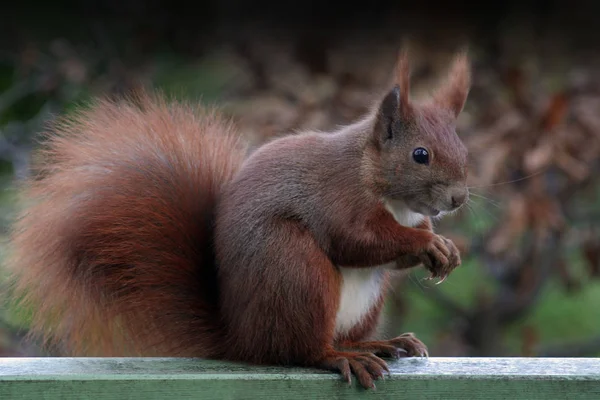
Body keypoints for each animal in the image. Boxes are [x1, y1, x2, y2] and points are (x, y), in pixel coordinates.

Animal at [7, 49, 472, 388]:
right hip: (294, 267)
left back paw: (382, 343)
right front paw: (426, 243)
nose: (458, 198)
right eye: (420, 154)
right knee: (302, 350)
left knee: (342, 336)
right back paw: (343, 357)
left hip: (358, 300)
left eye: (463, 148)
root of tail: (240, 339)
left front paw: (443, 248)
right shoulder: (338, 198)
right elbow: (357, 240)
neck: (378, 181)